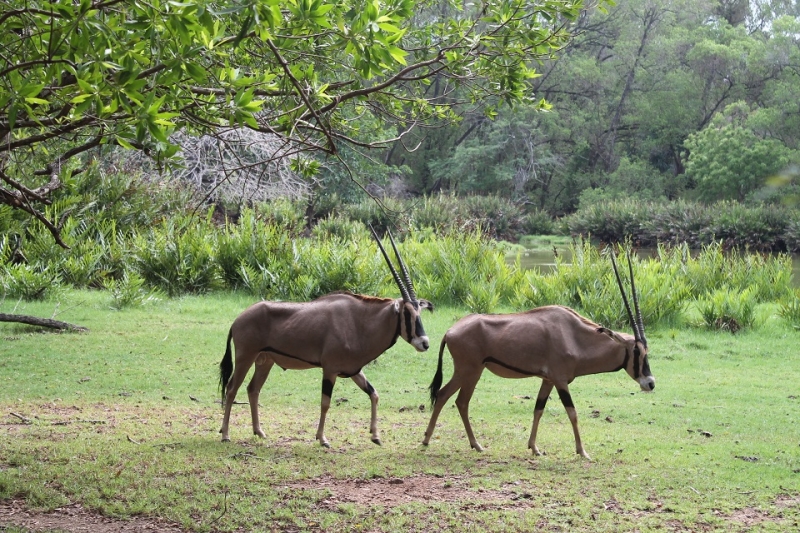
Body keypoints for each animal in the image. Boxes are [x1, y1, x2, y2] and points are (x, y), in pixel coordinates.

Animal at [217, 227, 432, 446]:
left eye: (419, 312)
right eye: (407, 313)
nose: (425, 343)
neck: (359, 322)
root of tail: (237, 320)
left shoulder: (354, 370)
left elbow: (374, 394)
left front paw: (375, 436)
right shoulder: (330, 370)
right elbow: (325, 403)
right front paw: (322, 438)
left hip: (264, 361)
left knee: (253, 389)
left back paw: (259, 431)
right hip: (245, 357)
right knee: (231, 389)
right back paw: (225, 434)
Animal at [422, 251, 652, 460]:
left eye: (646, 350)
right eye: (636, 351)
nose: (650, 383)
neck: (575, 336)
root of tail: (450, 332)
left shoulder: (548, 380)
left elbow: (538, 410)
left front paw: (534, 447)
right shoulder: (560, 380)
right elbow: (572, 413)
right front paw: (582, 452)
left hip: (468, 372)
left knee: (449, 397)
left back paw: (449, 441)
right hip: (470, 371)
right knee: (455, 399)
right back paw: (463, 443)